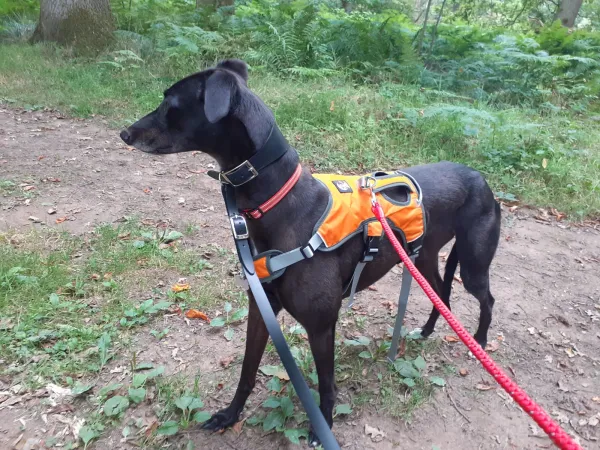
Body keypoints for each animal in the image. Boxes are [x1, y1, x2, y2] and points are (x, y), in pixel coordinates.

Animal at [120, 59, 501, 447]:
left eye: (170, 102)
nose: (125, 133)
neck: (280, 202)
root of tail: (480, 177)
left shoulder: (321, 326)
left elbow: (326, 384)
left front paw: (324, 427)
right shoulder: (261, 310)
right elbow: (246, 371)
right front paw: (230, 415)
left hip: (472, 263)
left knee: (485, 298)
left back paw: (480, 340)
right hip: (422, 260)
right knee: (442, 294)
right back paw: (426, 331)